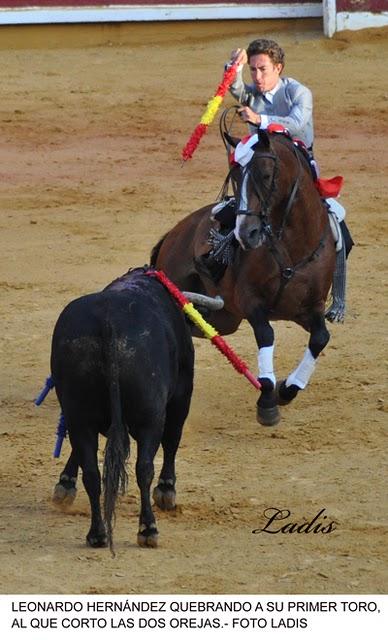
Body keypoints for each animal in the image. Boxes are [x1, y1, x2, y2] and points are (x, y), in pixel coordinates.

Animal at [50, 268, 194, 552]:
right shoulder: (181, 395)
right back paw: (148, 529)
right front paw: (167, 490)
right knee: (144, 467)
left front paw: (65, 484)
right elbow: (172, 440)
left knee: (92, 473)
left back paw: (97, 534)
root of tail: (109, 321)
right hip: (151, 417)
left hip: (78, 412)